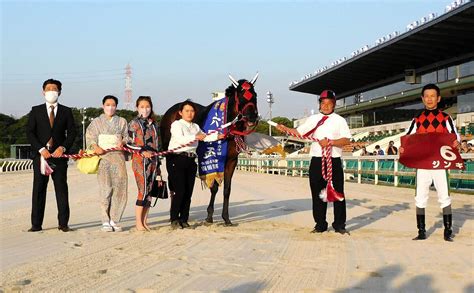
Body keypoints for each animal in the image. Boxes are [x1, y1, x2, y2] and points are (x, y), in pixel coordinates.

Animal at [161, 74, 262, 225]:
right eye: (241, 95)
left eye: (254, 95)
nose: (252, 117)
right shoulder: (215, 159)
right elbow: (214, 187)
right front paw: (209, 216)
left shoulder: (232, 160)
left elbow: (227, 189)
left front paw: (226, 218)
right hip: (169, 155)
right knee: (173, 183)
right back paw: (174, 217)